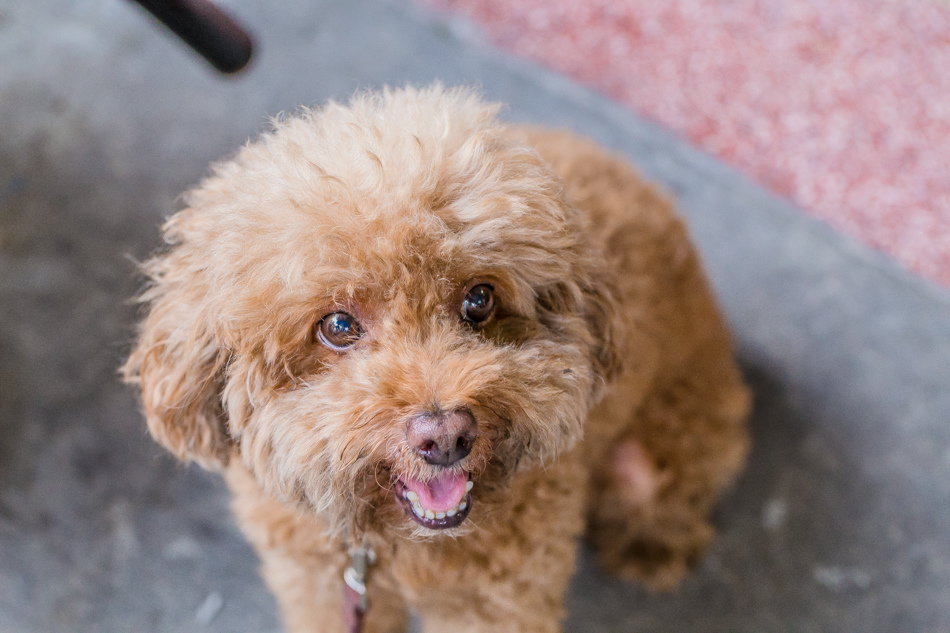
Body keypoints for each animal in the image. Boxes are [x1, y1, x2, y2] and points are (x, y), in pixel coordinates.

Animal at [124, 85, 752, 632]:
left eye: (479, 299)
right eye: (337, 327)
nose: (446, 436)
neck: (393, 546)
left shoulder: (497, 601)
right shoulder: (325, 584)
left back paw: (653, 547)